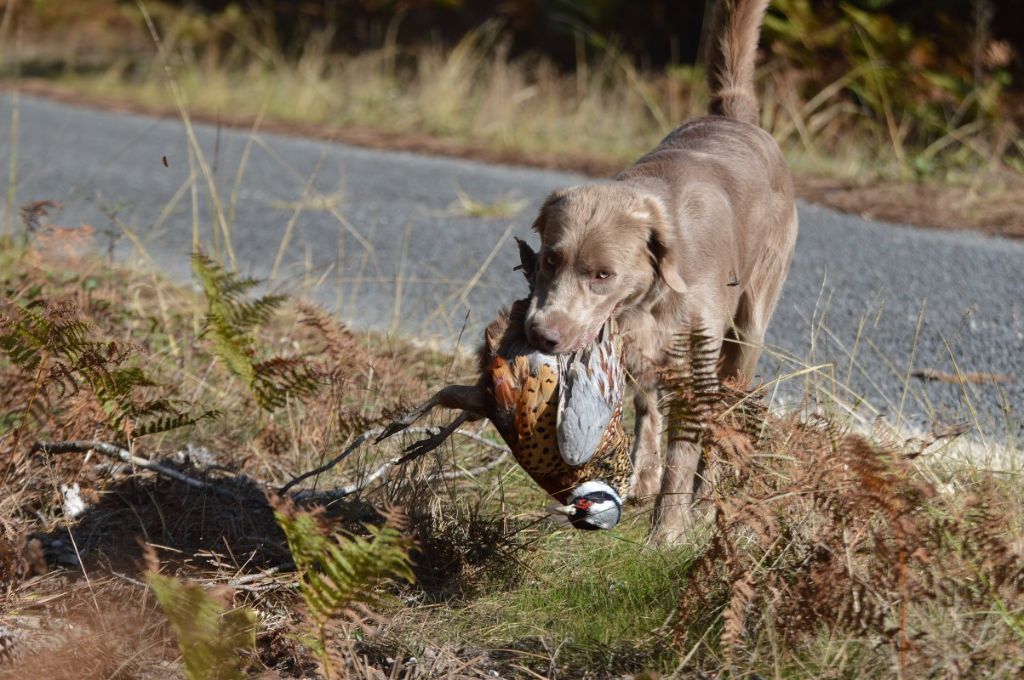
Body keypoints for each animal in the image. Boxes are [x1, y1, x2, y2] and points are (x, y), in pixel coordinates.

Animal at [520, 0, 798, 540]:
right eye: (549, 259)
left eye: (602, 274)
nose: (540, 334)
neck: (649, 298)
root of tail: (736, 118)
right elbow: (649, 413)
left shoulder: (698, 369)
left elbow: (686, 455)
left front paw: (668, 534)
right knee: (649, 404)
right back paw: (644, 475)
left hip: (749, 329)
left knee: (726, 412)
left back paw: (704, 499)